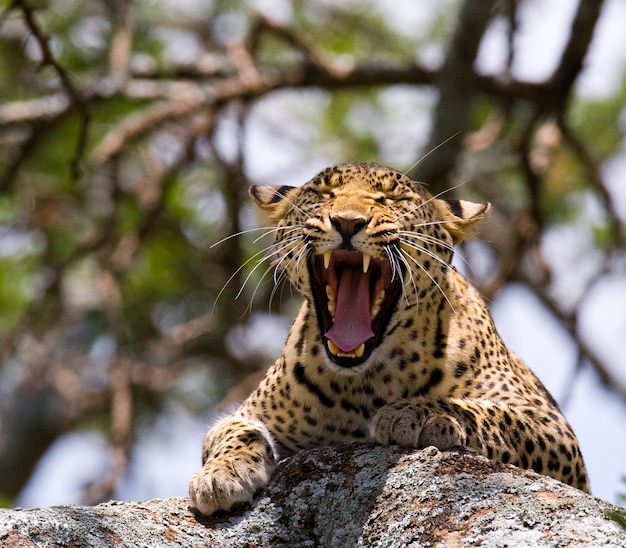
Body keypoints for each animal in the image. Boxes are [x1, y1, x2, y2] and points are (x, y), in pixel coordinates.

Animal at [188, 161, 588, 516]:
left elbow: (491, 415)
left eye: (391, 198)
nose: (348, 221)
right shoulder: (250, 412)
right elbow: (232, 432)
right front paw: (221, 474)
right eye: (323, 193)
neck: (365, 381)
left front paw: (418, 412)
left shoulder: (553, 429)